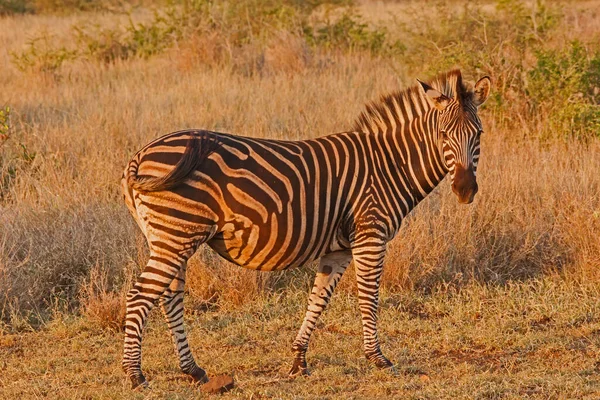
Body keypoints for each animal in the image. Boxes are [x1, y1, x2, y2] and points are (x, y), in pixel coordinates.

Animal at [119, 69, 490, 388]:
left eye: (479, 134)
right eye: (443, 135)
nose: (465, 190)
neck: (389, 165)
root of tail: (140, 154)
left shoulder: (339, 249)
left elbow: (318, 299)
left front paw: (298, 360)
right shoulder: (370, 234)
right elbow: (369, 297)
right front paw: (378, 359)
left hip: (169, 236)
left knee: (169, 297)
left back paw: (192, 370)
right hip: (176, 234)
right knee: (141, 295)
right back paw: (135, 374)